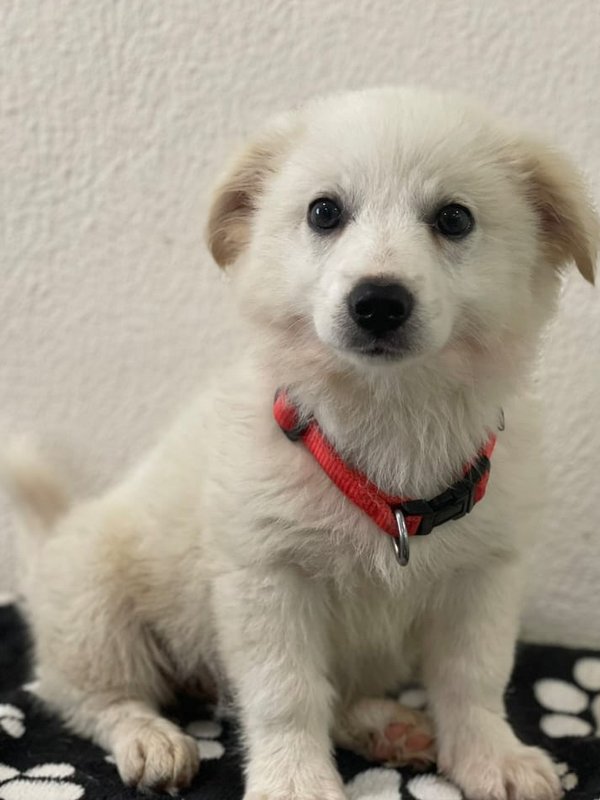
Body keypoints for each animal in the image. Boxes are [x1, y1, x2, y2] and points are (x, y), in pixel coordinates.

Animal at [2, 87, 597, 800]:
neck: (388, 415)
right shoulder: (268, 579)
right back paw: (151, 738)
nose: (378, 302)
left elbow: (473, 679)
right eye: (324, 212)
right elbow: (285, 694)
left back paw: (384, 726)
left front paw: (491, 757)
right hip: (96, 609)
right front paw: (296, 781)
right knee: (90, 697)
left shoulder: (484, 576)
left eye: (454, 219)